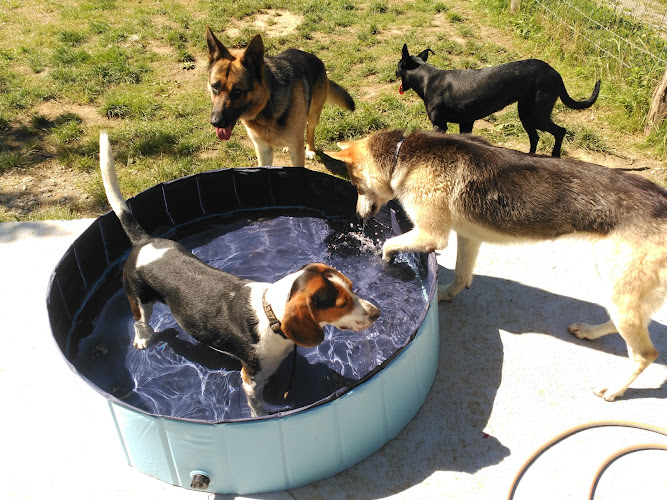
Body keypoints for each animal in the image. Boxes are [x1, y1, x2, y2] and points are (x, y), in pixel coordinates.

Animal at [207, 27, 354, 166]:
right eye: (215, 87)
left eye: (237, 91)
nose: (215, 122)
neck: (267, 103)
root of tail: (315, 58)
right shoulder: (263, 150)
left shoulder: (296, 150)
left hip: (313, 115)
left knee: (310, 129)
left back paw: (310, 149)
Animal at [330, 130, 667, 402]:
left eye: (356, 184)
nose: (358, 218)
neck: (402, 154)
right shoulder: (468, 236)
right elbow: (462, 276)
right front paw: (442, 295)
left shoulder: (430, 235)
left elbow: (389, 244)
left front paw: (385, 260)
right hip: (616, 286)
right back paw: (590, 332)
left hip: (620, 288)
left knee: (645, 353)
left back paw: (614, 389)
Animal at [394, 46, 604, 158]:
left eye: (398, 65)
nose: (394, 71)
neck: (427, 78)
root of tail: (556, 74)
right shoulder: (466, 123)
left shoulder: (439, 125)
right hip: (526, 113)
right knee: (535, 137)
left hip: (536, 114)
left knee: (560, 131)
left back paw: (554, 155)